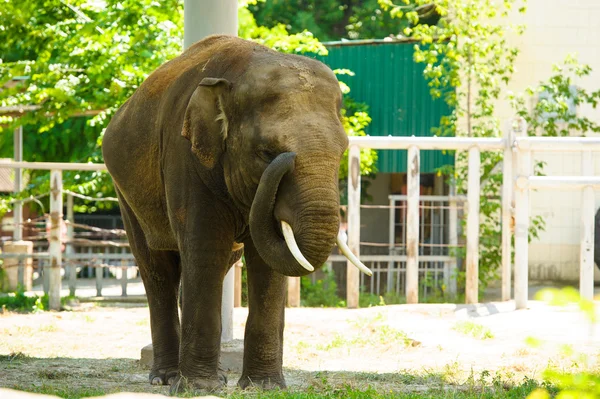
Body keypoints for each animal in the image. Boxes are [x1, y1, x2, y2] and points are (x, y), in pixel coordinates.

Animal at [102, 35, 370, 394]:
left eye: (342, 151)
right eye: (267, 153)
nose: (284, 159)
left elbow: (267, 265)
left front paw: (264, 387)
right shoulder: (185, 158)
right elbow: (205, 250)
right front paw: (198, 389)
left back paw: (211, 375)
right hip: (126, 193)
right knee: (157, 269)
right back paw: (166, 377)